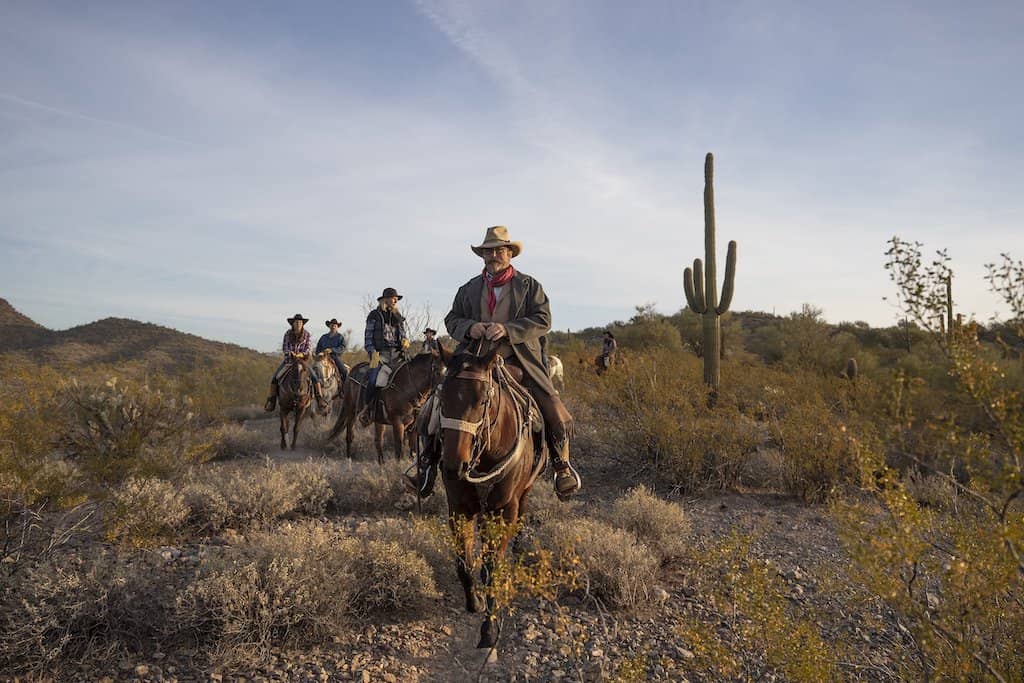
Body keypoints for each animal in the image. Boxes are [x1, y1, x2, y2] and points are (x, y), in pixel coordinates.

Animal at [434, 348, 544, 651]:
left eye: (483, 399)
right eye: (441, 398)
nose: (454, 466)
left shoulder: (504, 510)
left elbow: (493, 567)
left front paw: (490, 630)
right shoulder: (458, 508)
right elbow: (464, 562)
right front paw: (475, 600)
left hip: (522, 496)